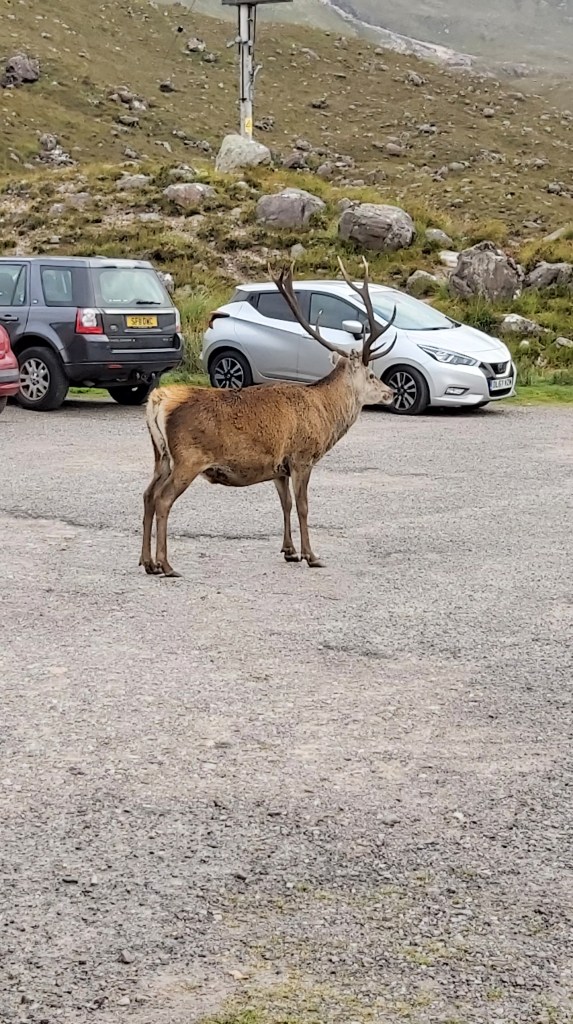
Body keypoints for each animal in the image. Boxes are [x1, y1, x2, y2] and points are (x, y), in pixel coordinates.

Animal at [139, 257, 397, 578]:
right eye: (372, 375)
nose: (392, 393)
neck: (325, 412)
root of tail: (158, 400)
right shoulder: (302, 456)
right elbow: (303, 506)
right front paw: (311, 555)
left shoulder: (278, 467)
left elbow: (285, 504)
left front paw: (289, 551)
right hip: (188, 457)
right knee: (163, 500)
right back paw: (166, 564)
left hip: (161, 455)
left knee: (147, 496)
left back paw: (147, 562)